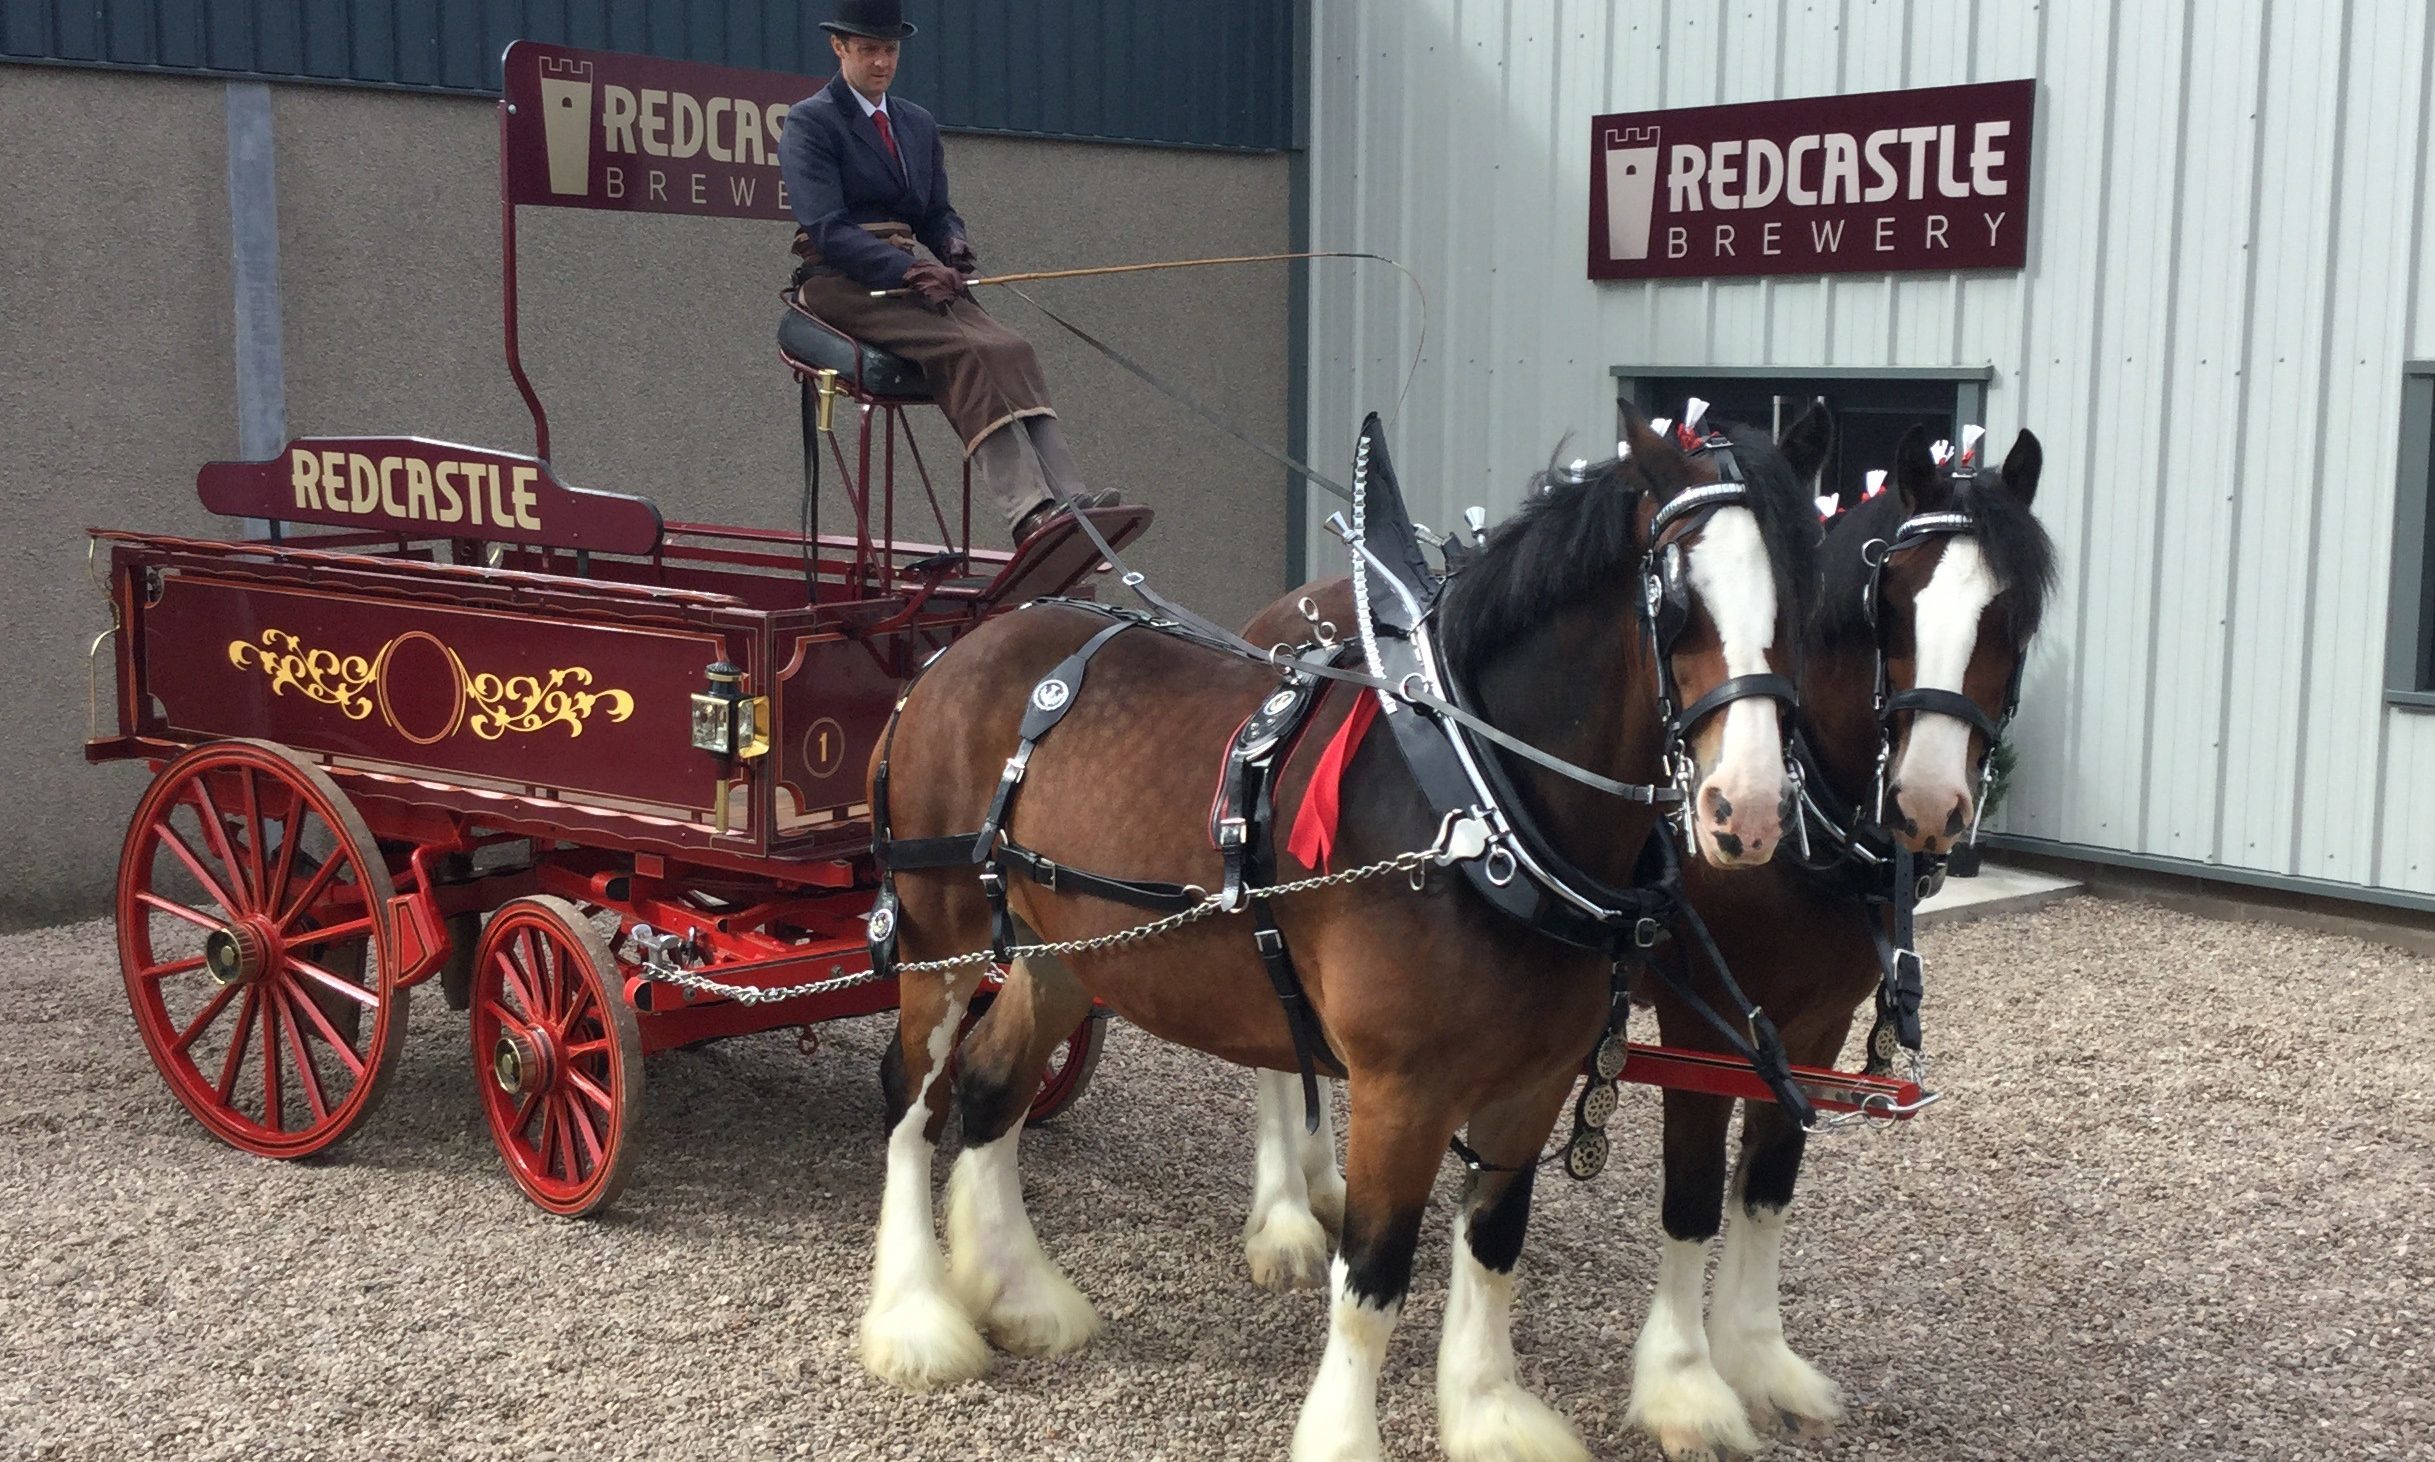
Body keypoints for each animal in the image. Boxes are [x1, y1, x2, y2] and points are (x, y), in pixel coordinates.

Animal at [857, 402, 1831, 1462]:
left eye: (1803, 603)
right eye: (1676, 601)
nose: (1747, 812)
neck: (1479, 808)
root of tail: (953, 656)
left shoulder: (1532, 1082)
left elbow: (1492, 1246)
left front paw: (1486, 1412)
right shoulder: (1401, 1089)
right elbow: (1372, 1278)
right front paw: (1345, 1433)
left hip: (1063, 951)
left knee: (994, 1084)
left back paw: (1021, 1296)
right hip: (940, 933)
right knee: (913, 1097)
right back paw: (915, 1318)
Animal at [1236, 416, 2055, 1452]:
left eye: (2010, 616)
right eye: (1892, 601)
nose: (1928, 804)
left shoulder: (1812, 1023)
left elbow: (1765, 1186)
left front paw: (1758, 1357)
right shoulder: (1710, 1025)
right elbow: (1695, 1196)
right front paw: (1683, 1384)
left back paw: (1320, 1181)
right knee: (1269, 1049)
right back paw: (1285, 1217)